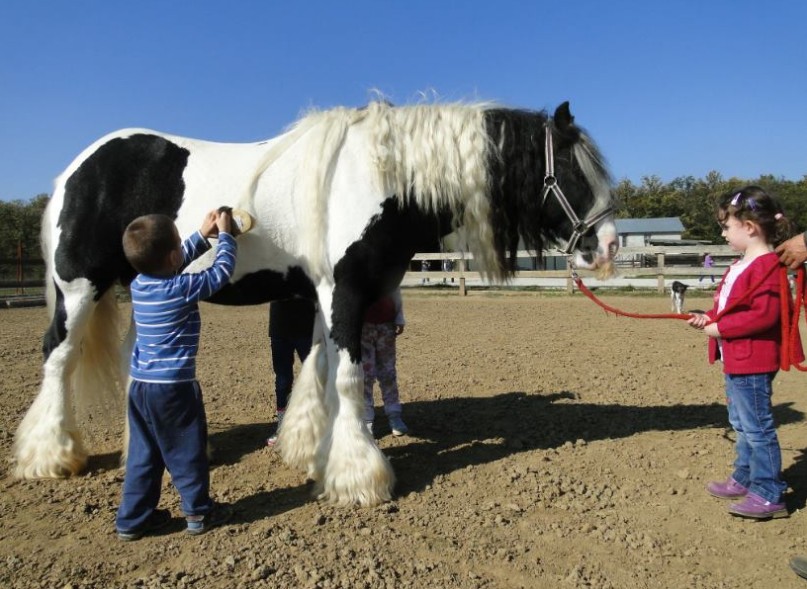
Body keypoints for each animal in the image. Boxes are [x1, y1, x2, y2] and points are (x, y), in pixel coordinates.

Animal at [12, 99, 620, 504]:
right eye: (571, 169)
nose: (610, 245)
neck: (381, 176)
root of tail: (75, 170)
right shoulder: (344, 291)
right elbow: (348, 378)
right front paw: (359, 477)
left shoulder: (327, 295)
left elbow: (321, 370)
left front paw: (310, 452)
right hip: (79, 289)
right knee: (57, 359)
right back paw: (50, 456)